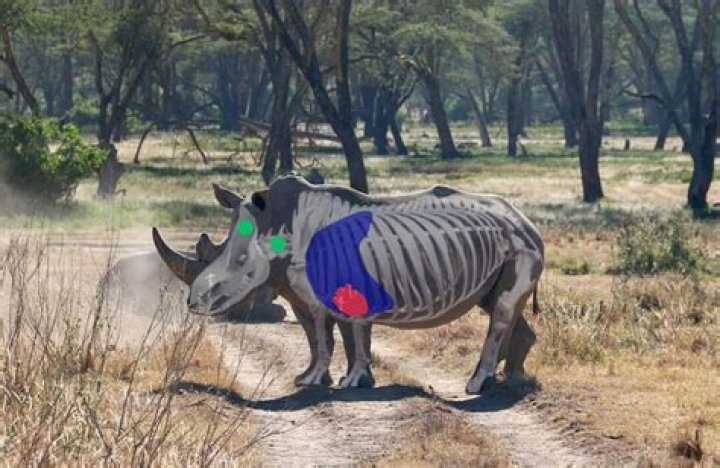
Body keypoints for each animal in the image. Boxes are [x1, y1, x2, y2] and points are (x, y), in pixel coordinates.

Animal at [153, 176, 544, 393]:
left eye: (240, 267)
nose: (194, 304)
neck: (276, 225)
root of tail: (527, 221)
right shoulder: (299, 288)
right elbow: (321, 334)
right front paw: (312, 379)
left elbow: (336, 332)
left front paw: (344, 382)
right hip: (504, 246)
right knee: (499, 304)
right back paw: (511, 382)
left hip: (518, 244)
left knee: (501, 310)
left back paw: (477, 385)